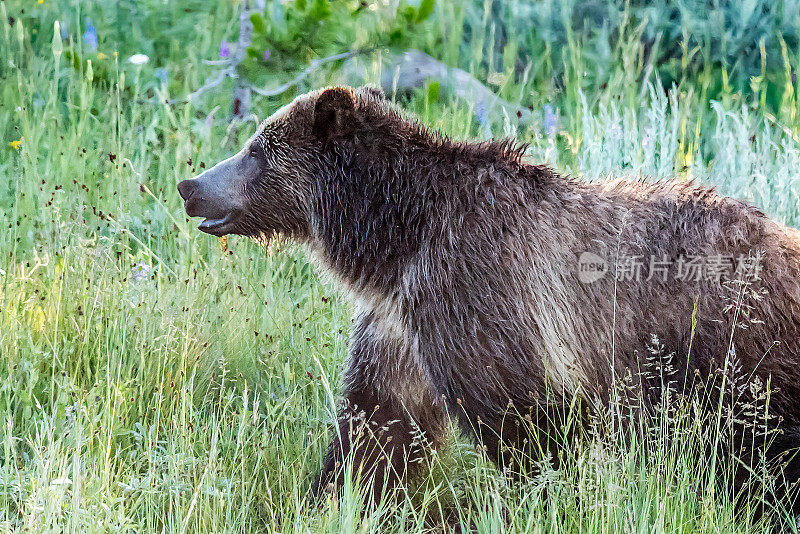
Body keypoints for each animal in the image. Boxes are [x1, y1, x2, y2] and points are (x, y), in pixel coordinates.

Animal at [180, 86, 800, 516]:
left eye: (257, 149)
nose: (191, 186)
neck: (399, 237)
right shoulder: (399, 320)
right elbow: (378, 422)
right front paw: (335, 498)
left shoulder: (479, 291)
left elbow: (521, 420)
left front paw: (552, 495)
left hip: (734, 348)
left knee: (764, 449)